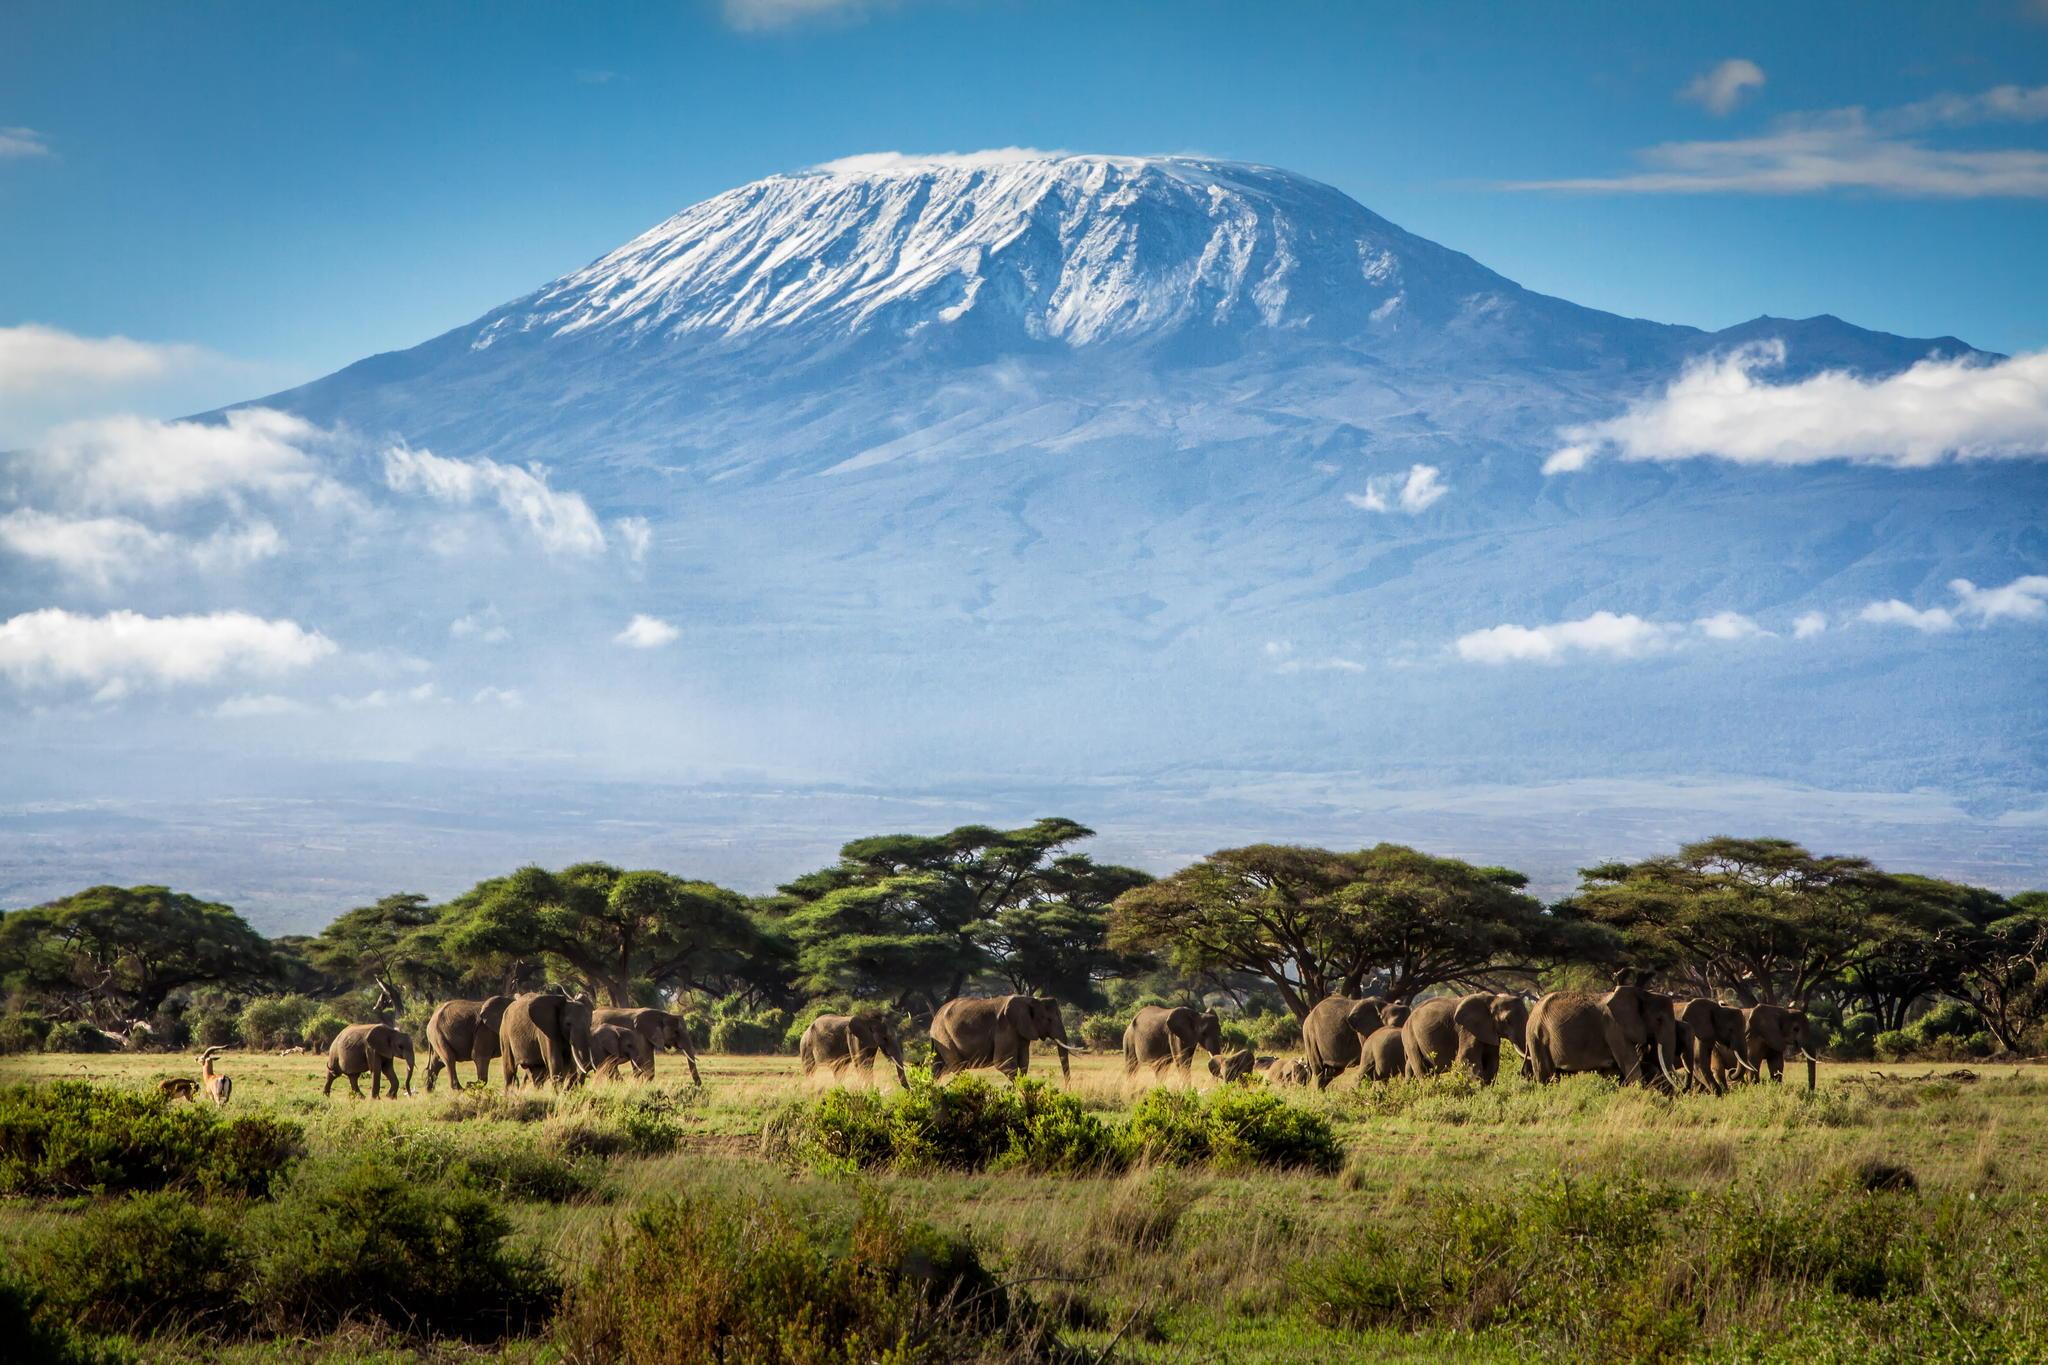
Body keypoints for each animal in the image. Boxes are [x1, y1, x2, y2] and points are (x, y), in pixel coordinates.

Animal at [933, 998, 1089, 1080]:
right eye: (1049, 1020)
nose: (1068, 1091)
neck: (1030, 1000)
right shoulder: (1005, 1028)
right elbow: (1003, 1063)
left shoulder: (1022, 1032)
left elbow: (1024, 1063)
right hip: (944, 1036)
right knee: (957, 1067)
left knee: (939, 1068)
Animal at [1523, 982, 1679, 1088]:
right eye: (1659, 1019)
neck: (1642, 993)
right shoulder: (1614, 1027)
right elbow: (1630, 1065)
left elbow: (1613, 1071)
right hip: (1536, 1036)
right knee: (1545, 1075)